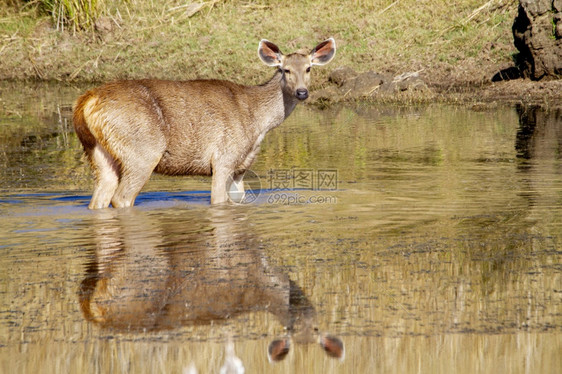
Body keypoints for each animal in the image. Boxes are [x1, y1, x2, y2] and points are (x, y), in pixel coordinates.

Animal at [72, 38, 334, 210]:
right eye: (285, 70)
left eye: (309, 68)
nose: (302, 92)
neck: (257, 122)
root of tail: (86, 102)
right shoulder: (224, 157)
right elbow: (218, 202)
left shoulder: (241, 168)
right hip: (142, 150)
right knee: (121, 198)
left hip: (98, 152)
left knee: (98, 199)